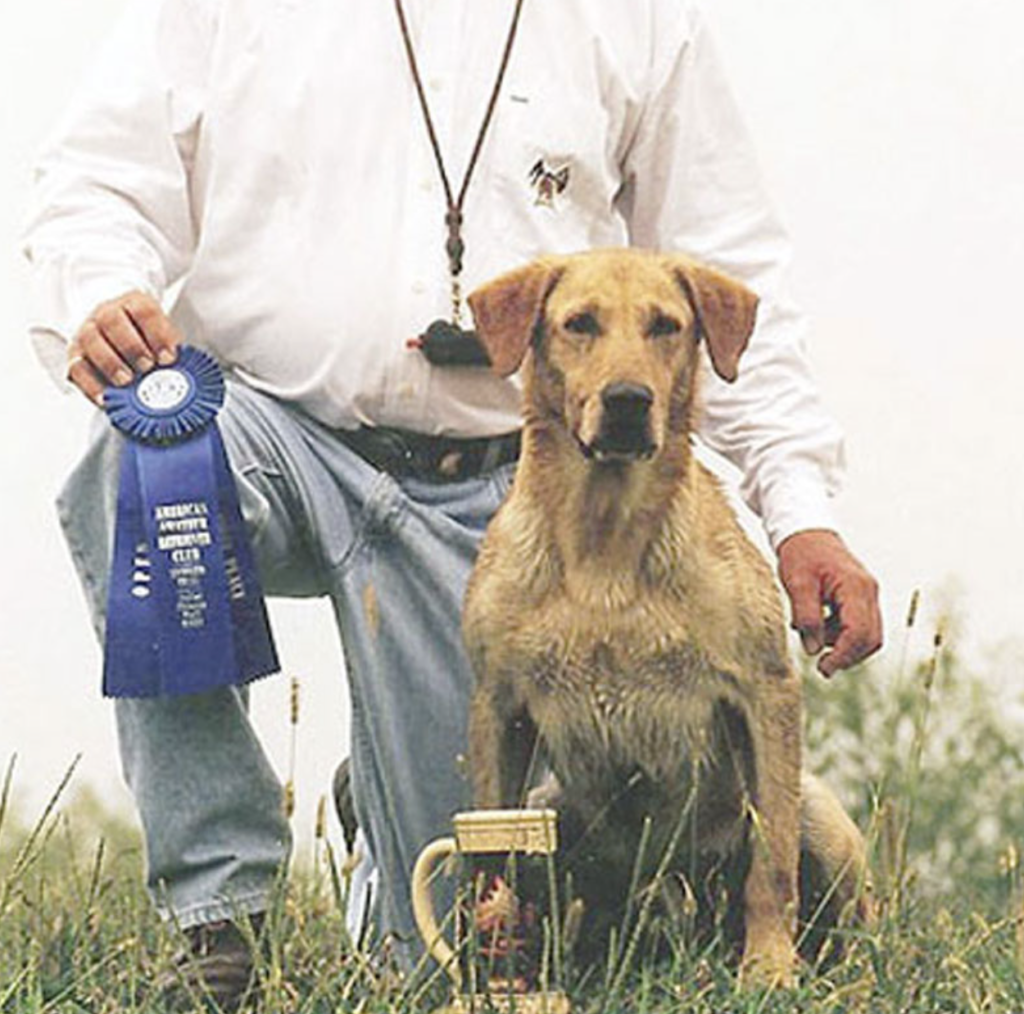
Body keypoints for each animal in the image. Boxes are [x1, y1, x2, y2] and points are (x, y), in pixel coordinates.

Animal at [462, 248, 872, 985]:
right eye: (579, 323)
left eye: (666, 325)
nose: (629, 401)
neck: (605, 545)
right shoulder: (498, 706)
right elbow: (490, 861)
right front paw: (493, 960)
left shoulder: (764, 692)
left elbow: (771, 866)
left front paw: (770, 969)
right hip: (549, 807)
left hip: (822, 817)